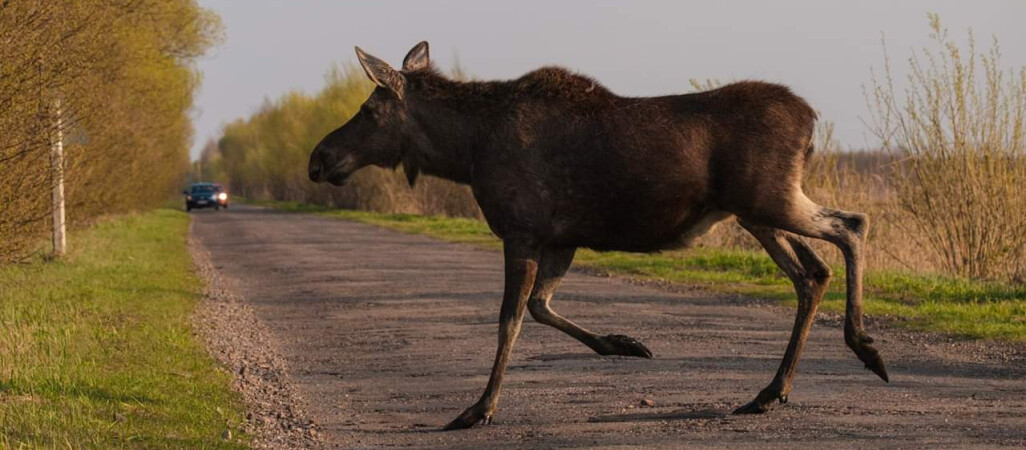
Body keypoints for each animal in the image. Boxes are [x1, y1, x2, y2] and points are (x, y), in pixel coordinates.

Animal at [305, 43, 890, 432]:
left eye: (369, 109)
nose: (319, 157)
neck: (464, 154)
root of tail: (812, 120)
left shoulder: (521, 230)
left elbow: (510, 319)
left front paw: (479, 408)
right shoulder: (561, 237)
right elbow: (540, 307)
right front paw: (625, 344)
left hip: (767, 199)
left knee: (852, 227)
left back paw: (864, 347)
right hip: (755, 212)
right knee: (812, 271)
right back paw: (772, 391)